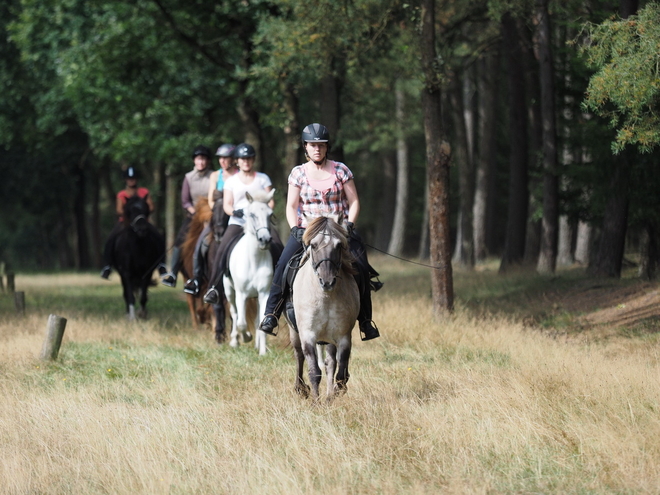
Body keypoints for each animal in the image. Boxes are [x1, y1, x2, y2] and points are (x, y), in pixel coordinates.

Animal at [222, 190, 274, 356]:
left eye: (270, 214)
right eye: (251, 214)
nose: (265, 239)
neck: (254, 260)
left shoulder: (264, 294)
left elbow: (262, 322)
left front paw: (262, 352)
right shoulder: (241, 294)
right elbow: (241, 323)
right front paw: (246, 337)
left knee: (257, 320)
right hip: (229, 291)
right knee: (234, 314)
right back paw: (234, 341)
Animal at [284, 215, 358, 402]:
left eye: (338, 245)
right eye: (314, 245)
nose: (327, 281)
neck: (325, 297)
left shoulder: (343, 336)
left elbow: (341, 372)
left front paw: (335, 394)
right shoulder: (308, 334)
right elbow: (314, 371)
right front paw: (315, 403)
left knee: (330, 363)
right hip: (294, 331)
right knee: (299, 355)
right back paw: (300, 388)